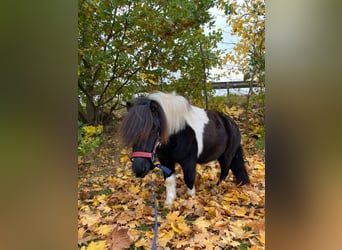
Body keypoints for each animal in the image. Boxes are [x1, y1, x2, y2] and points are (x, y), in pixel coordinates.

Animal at [119, 92, 248, 205]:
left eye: (153, 129)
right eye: (131, 133)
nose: (139, 169)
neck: (178, 133)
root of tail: (232, 123)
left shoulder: (189, 162)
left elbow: (189, 179)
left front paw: (191, 200)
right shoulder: (166, 162)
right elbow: (169, 180)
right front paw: (169, 202)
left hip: (226, 156)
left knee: (225, 172)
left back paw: (215, 189)